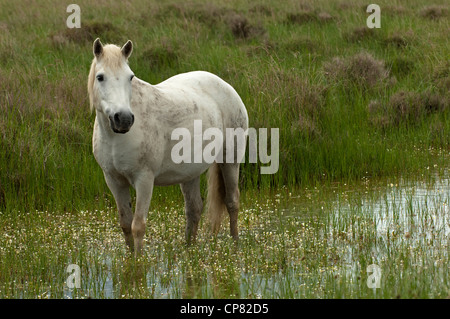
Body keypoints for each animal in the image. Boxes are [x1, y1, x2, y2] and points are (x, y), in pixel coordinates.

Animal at [87, 38, 250, 256]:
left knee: (232, 202)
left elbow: (138, 226)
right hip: (190, 172)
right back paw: (189, 249)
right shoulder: (114, 180)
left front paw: (139, 262)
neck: (115, 137)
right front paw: (130, 260)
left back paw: (235, 246)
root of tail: (226, 86)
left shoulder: (144, 179)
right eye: (100, 77)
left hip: (230, 160)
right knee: (194, 209)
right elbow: (125, 224)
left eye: (130, 77)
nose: (124, 119)